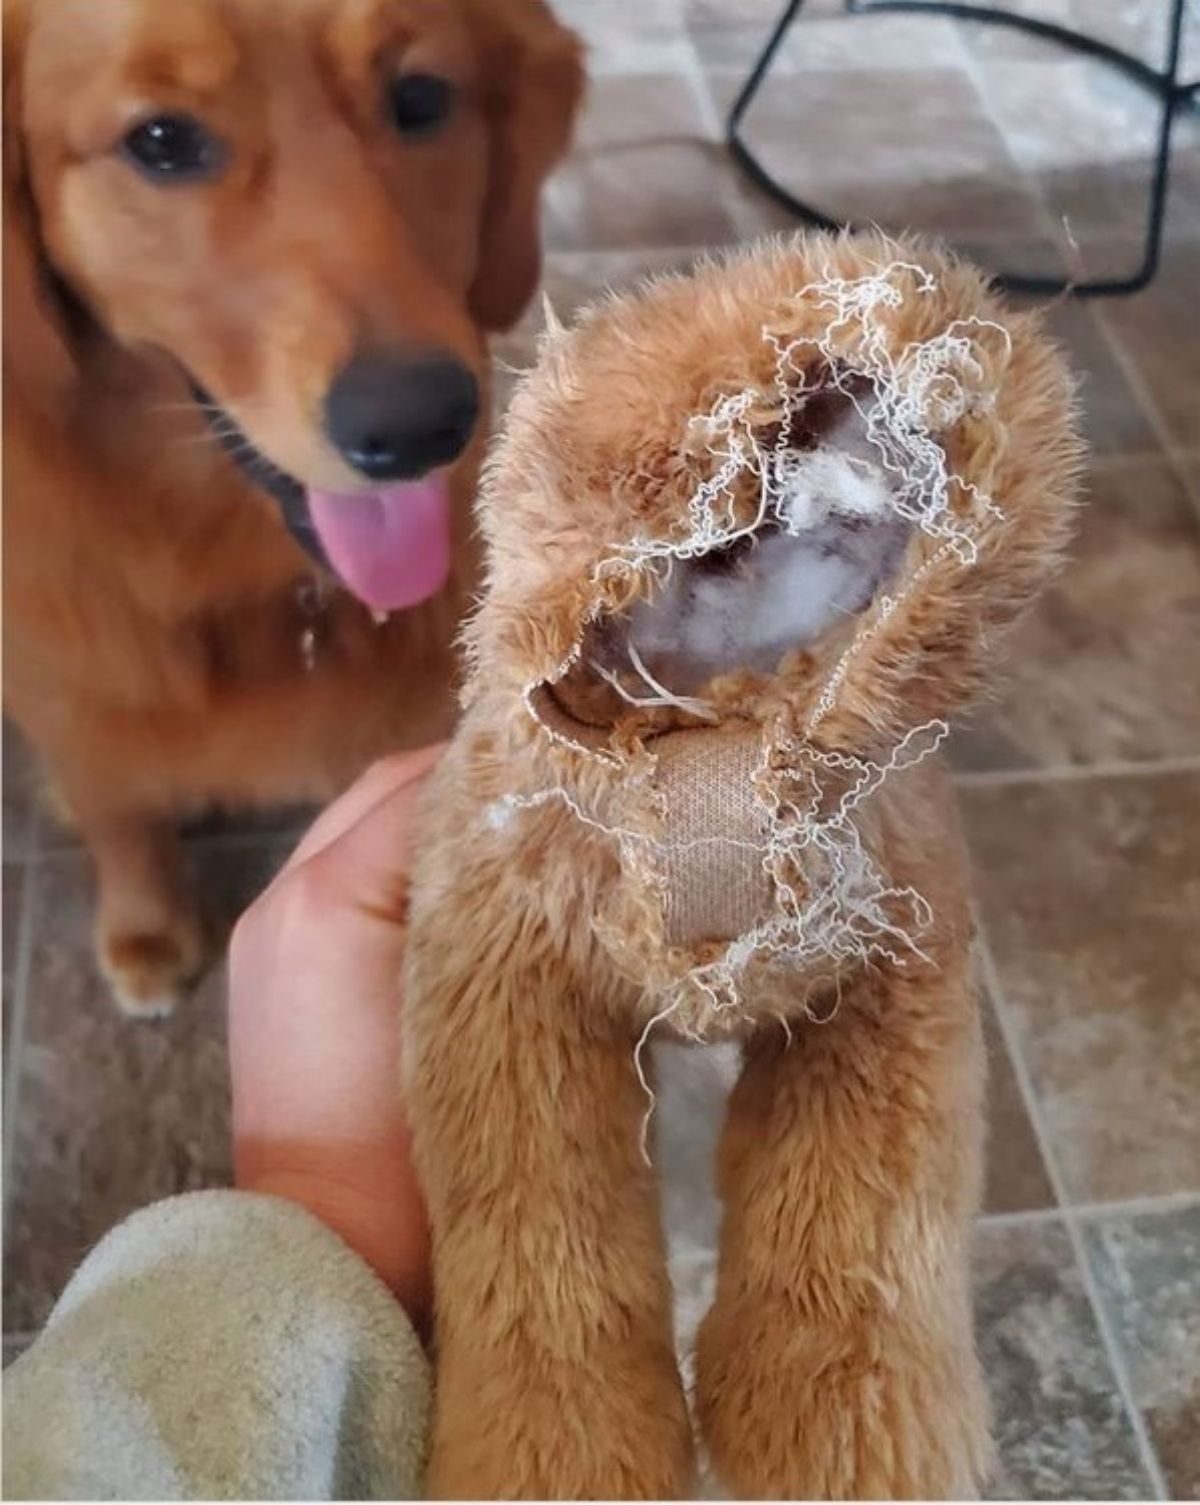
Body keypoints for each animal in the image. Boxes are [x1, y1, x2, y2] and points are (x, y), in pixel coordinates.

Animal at [0, 0, 581, 1017]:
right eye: (160, 140)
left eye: (420, 97)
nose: (419, 424)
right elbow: (117, 806)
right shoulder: (62, 689)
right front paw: (147, 925)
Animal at [406, 234, 1084, 1492]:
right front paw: (556, 1452)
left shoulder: (888, 996)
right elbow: (540, 1253)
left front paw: (850, 1437)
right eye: (722, 531)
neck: (712, 761)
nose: (858, 449)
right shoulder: (509, 988)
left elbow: (862, 1238)